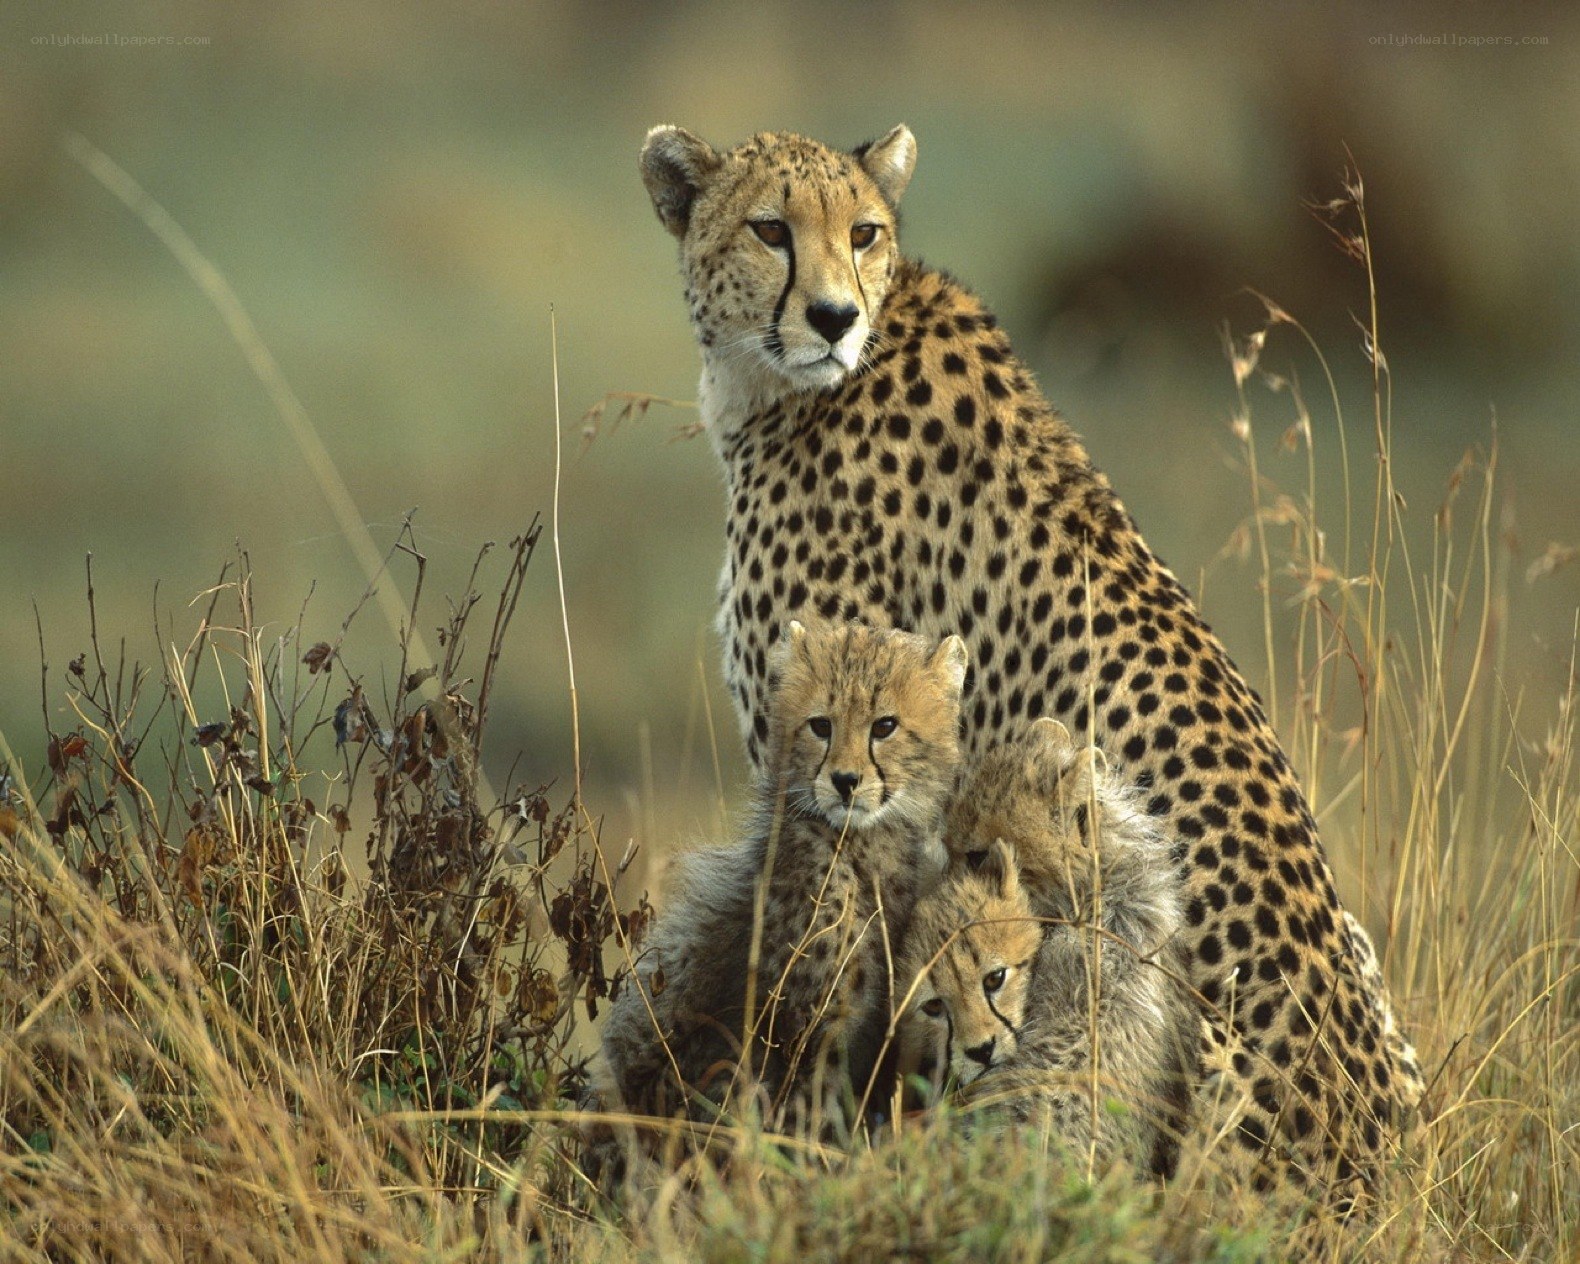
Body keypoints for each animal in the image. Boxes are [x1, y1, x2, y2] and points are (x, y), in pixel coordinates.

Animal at [597, 619, 968, 1150]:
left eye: (884, 726)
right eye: (821, 726)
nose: (845, 780)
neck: (861, 845)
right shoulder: (808, 1031)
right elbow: (808, 1122)